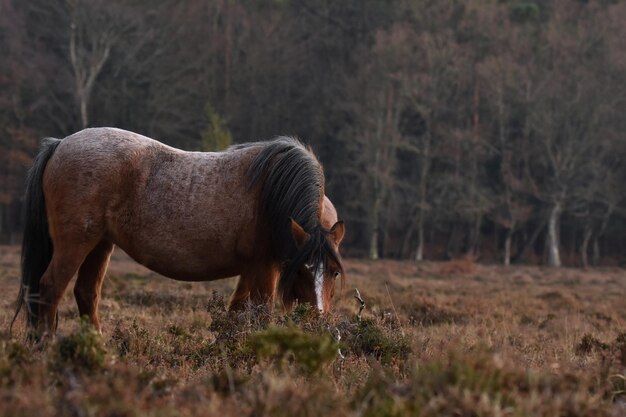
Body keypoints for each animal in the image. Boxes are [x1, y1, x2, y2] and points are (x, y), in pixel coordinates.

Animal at [13, 127, 346, 338]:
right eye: (301, 271)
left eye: (334, 272)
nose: (317, 322)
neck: (271, 191)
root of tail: (60, 144)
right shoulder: (266, 268)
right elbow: (261, 313)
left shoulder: (251, 269)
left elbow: (236, 314)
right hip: (75, 244)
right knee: (50, 289)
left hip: (100, 245)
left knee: (86, 293)